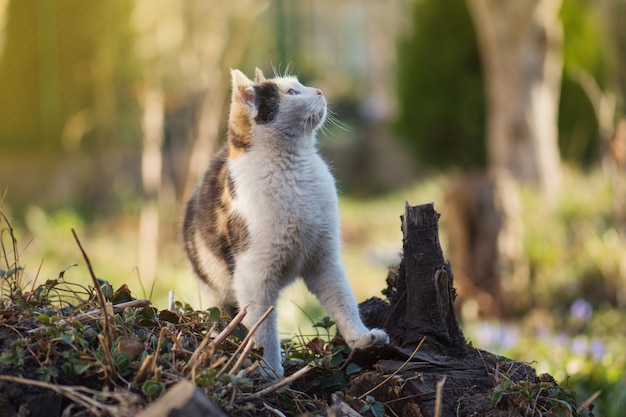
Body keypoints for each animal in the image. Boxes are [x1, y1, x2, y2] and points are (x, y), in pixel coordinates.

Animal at [180, 67, 388, 376]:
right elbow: (262, 329)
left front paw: (360, 336)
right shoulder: (253, 276)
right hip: (213, 281)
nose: (319, 91)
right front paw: (270, 370)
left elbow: (343, 300)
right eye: (291, 92)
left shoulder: (324, 260)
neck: (294, 171)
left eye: (299, 84)